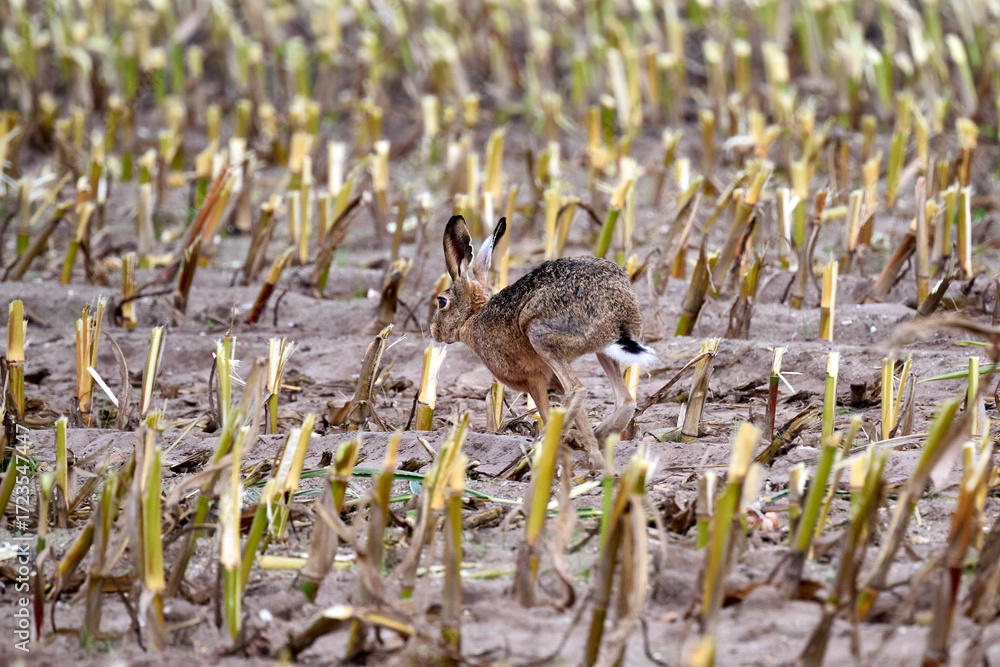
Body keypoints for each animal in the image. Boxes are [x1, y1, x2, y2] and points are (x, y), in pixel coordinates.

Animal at [429, 214, 656, 468]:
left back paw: (546, 444)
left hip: (540, 336)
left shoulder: (534, 379)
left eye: (441, 302)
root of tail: (620, 312)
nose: (434, 331)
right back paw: (595, 442)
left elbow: (549, 410)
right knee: (625, 401)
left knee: (577, 390)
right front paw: (592, 454)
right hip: (601, 349)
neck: (472, 317)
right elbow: (581, 416)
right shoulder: (550, 378)